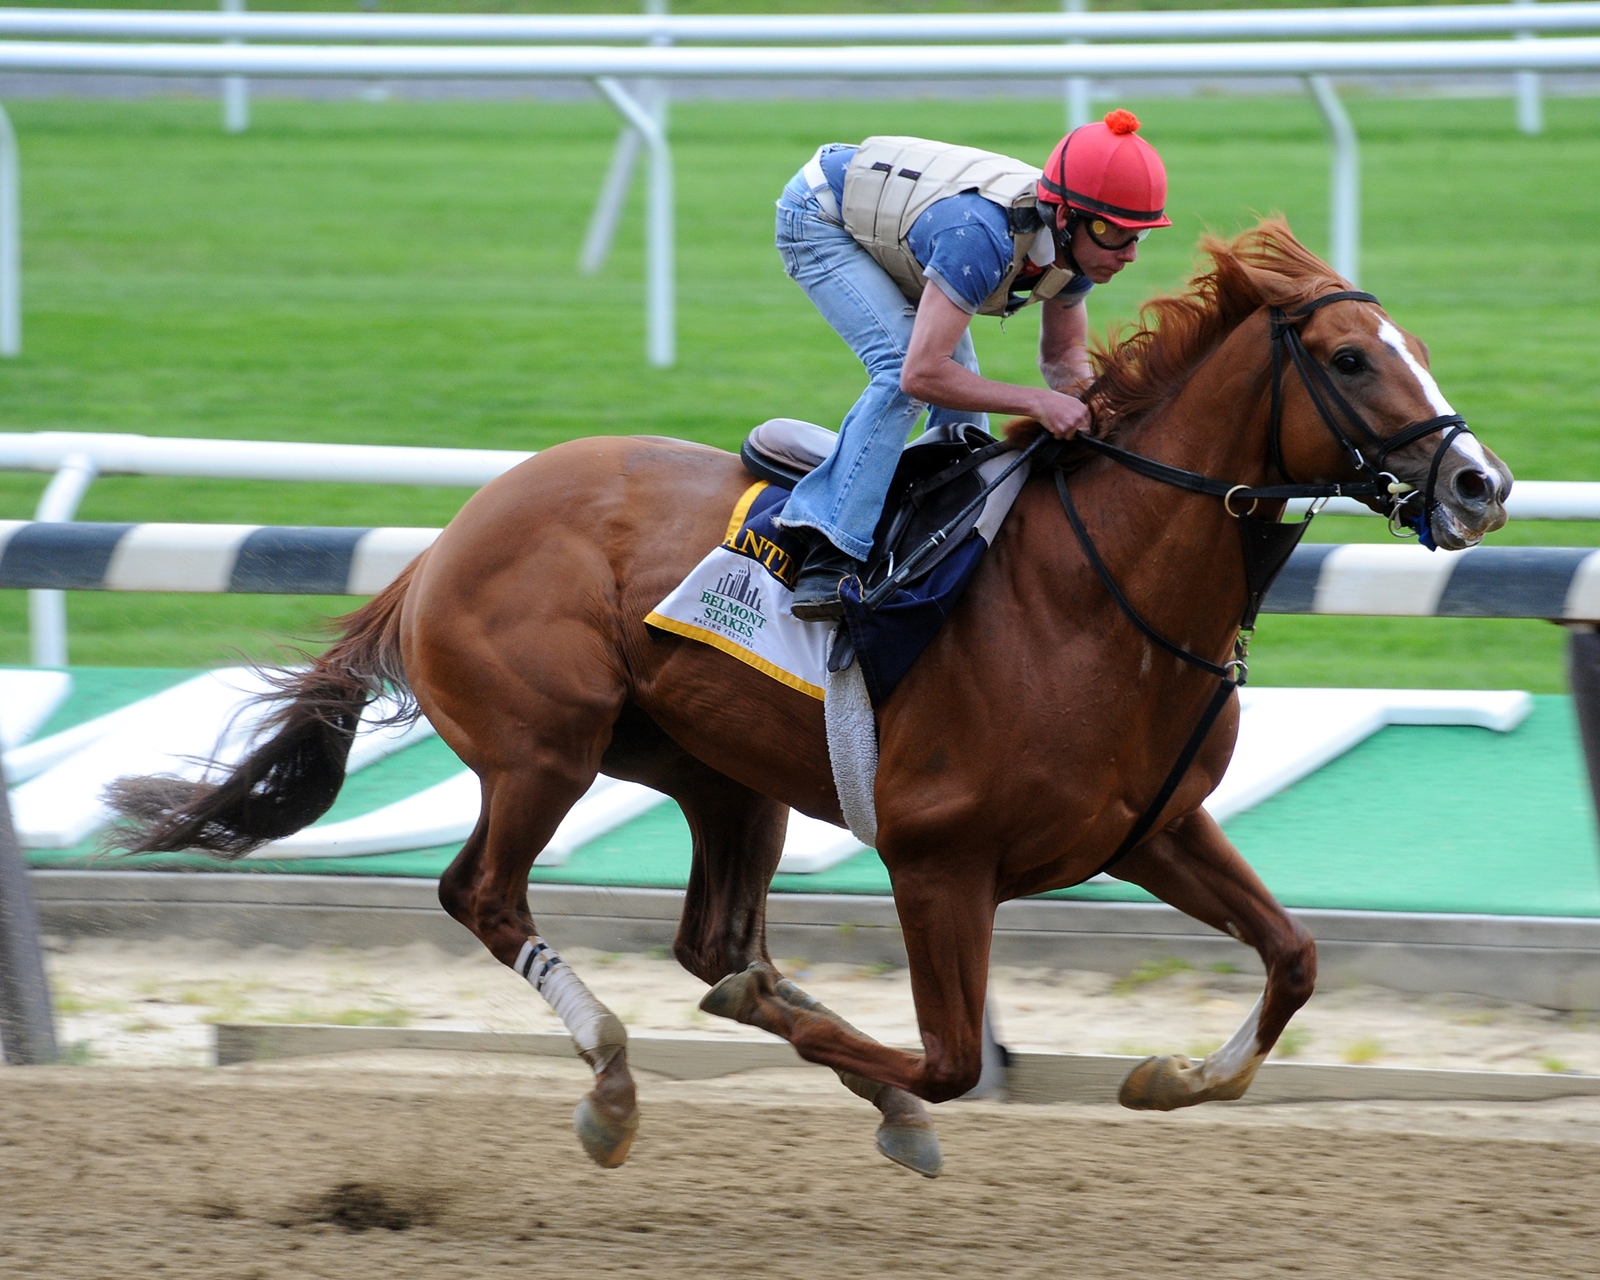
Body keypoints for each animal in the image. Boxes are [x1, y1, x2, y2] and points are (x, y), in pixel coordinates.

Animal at [112, 222, 1510, 1177]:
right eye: (1349, 357)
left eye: (1420, 350)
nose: (1482, 484)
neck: (1094, 592)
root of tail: (448, 537)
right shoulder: (939, 858)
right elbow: (949, 1058)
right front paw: (859, 1072)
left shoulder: (1152, 827)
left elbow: (1294, 957)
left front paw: (1165, 1076)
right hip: (543, 748)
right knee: (486, 895)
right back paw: (613, 1082)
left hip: (719, 774)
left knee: (711, 935)